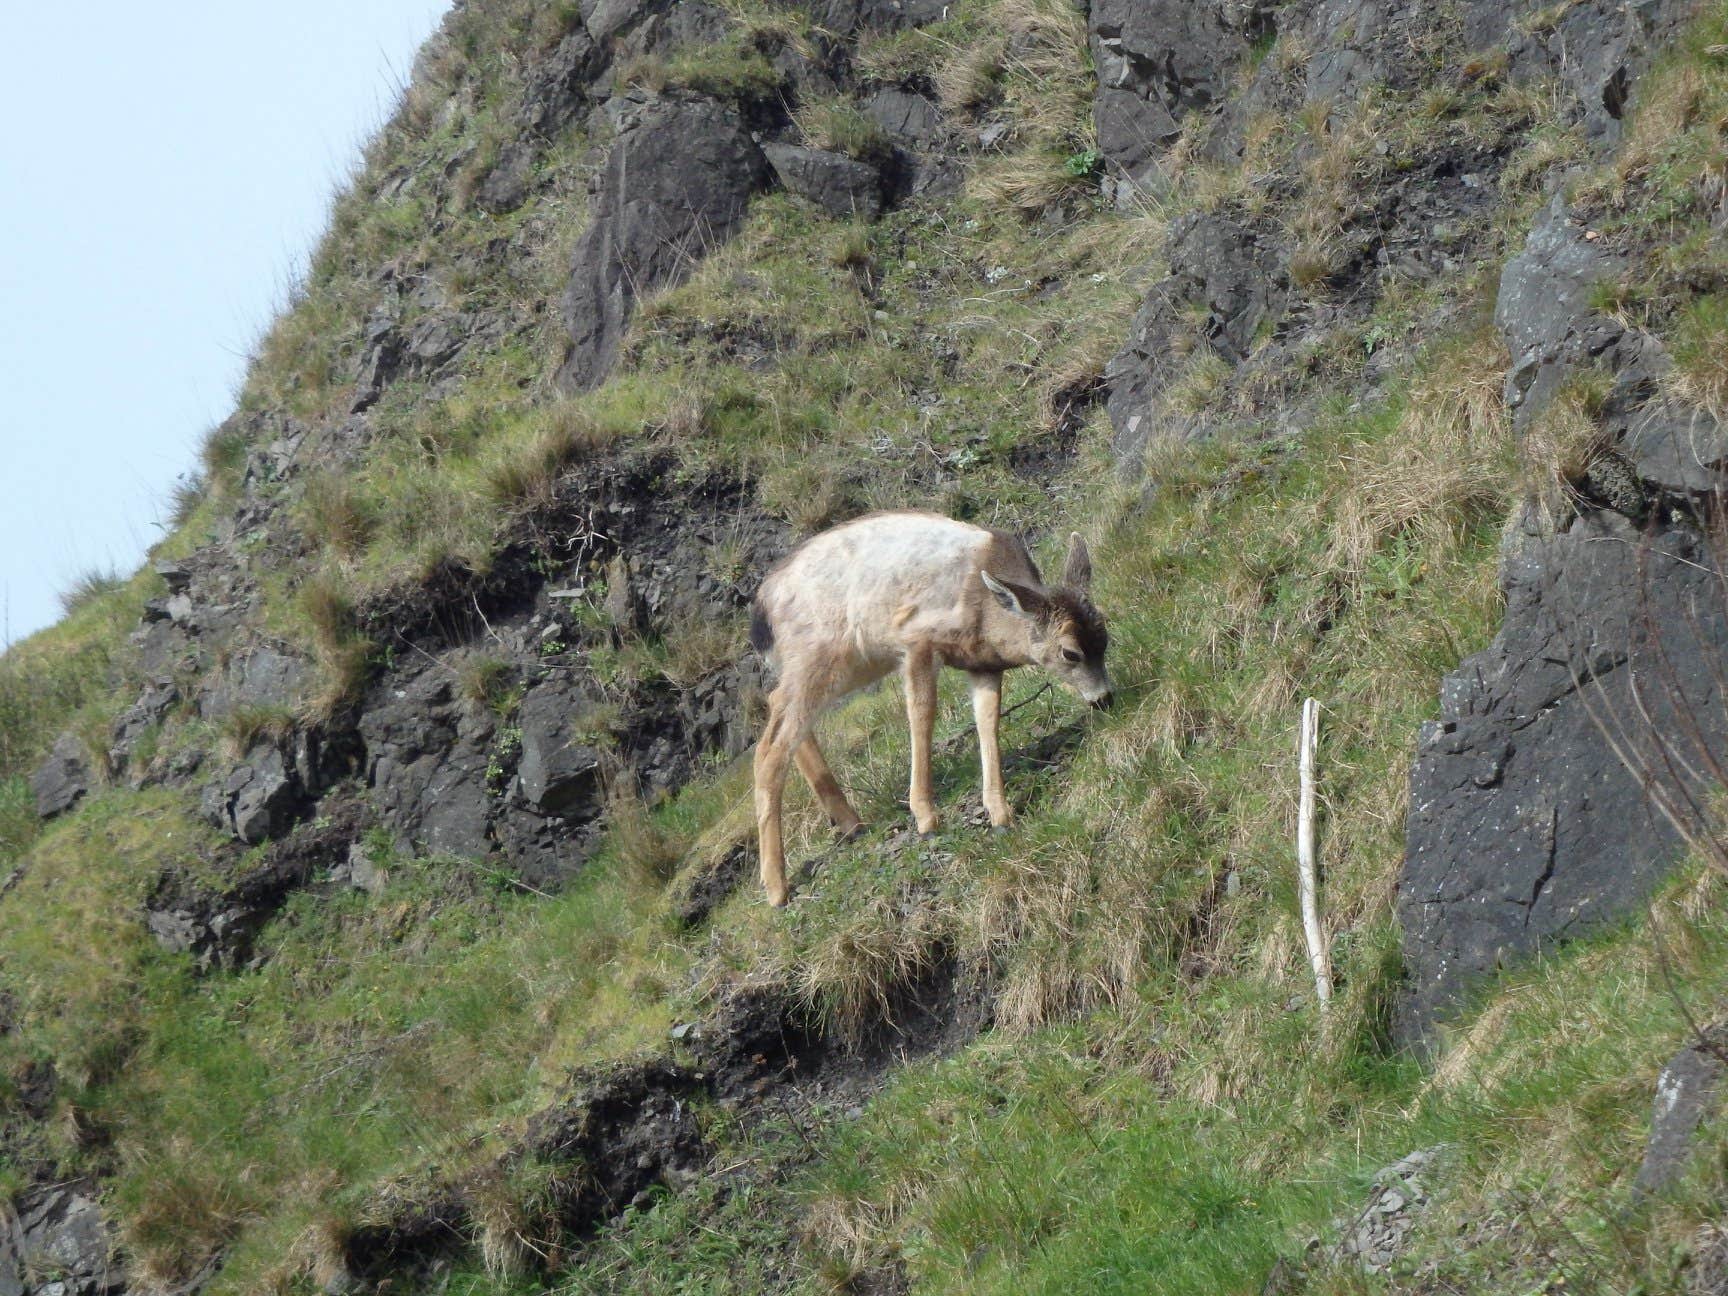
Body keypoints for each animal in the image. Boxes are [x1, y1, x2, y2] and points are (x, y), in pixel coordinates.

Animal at [749, 511, 1112, 905]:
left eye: (1105, 636)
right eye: (1070, 652)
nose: (1105, 698)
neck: (985, 612)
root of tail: (762, 608)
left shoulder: (983, 665)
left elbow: (988, 720)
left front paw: (1000, 812)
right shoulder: (916, 639)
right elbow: (923, 715)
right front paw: (926, 816)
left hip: (849, 663)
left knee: (782, 712)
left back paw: (851, 824)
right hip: (820, 653)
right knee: (769, 747)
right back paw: (776, 886)